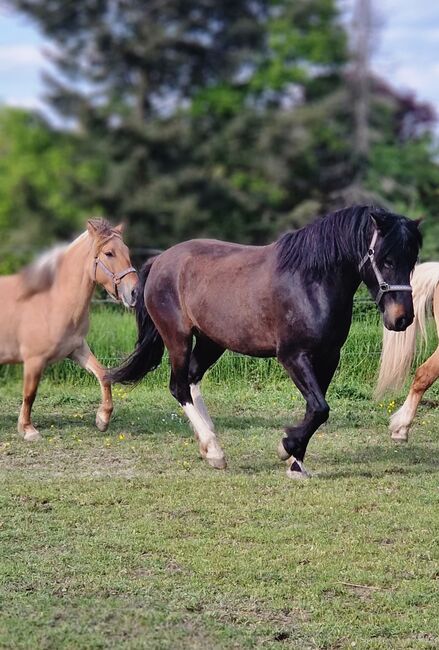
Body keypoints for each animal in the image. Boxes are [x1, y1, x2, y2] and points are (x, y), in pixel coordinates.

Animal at [0, 219, 138, 440]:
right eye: (109, 253)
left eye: (126, 251)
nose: (134, 292)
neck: (52, 301)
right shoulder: (34, 360)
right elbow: (30, 393)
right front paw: (28, 429)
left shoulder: (76, 349)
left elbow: (103, 375)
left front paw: (102, 419)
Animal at [110, 206, 422, 476]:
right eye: (385, 259)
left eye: (412, 261)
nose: (402, 318)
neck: (310, 283)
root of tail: (160, 261)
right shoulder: (293, 356)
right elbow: (320, 408)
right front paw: (286, 447)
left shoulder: (329, 357)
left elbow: (315, 408)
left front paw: (296, 463)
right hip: (178, 338)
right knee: (179, 387)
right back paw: (214, 451)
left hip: (212, 341)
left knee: (191, 379)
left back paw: (209, 445)